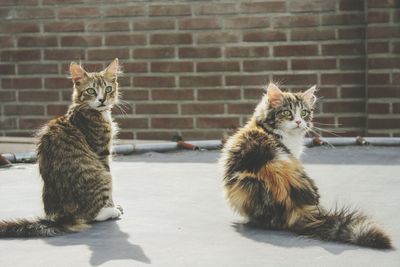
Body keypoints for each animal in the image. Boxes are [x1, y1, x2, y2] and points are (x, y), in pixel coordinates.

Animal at [0, 59, 122, 239]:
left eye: (108, 89)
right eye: (91, 91)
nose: (102, 100)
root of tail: (63, 216)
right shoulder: (101, 153)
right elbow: (109, 196)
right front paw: (111, 206)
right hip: (103, 176)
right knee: (89, 216)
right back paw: (110, 212)